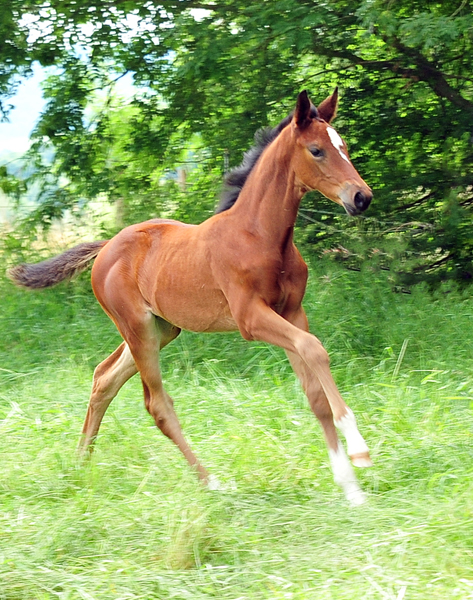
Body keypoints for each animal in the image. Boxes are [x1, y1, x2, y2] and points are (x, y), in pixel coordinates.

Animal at [9, 88, 372, 502]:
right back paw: (211, 482)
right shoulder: (251, 318)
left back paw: (80, 467)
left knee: (104, 378)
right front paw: (359, 449)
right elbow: (315, 349)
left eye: (344, 147)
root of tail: (105, 248)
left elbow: (314, 392)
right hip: (138, 329)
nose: (361, 197)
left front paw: (350, 487)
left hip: (160, 329)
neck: (261, 236)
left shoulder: (292, 312)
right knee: (156, 404)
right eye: (317, 150)